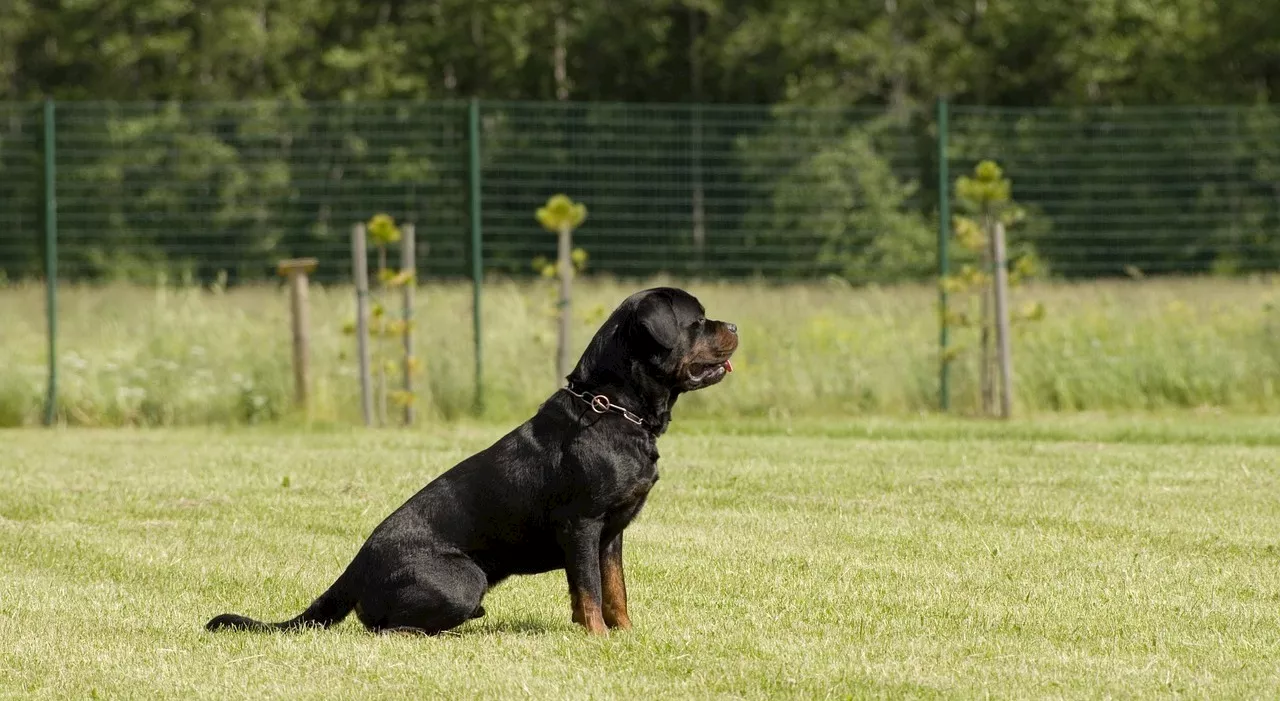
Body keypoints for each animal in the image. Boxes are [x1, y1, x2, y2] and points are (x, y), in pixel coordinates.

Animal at [204, 285, 737, 634]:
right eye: (698, 320)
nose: (733, 324)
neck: (612, 409)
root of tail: (354, 567)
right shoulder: (582, 525)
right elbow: (587, 591)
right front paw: (597, 638)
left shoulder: (612, 534)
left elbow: (615, 588)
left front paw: (624, 633)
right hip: (465, 578)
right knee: (383, 627)